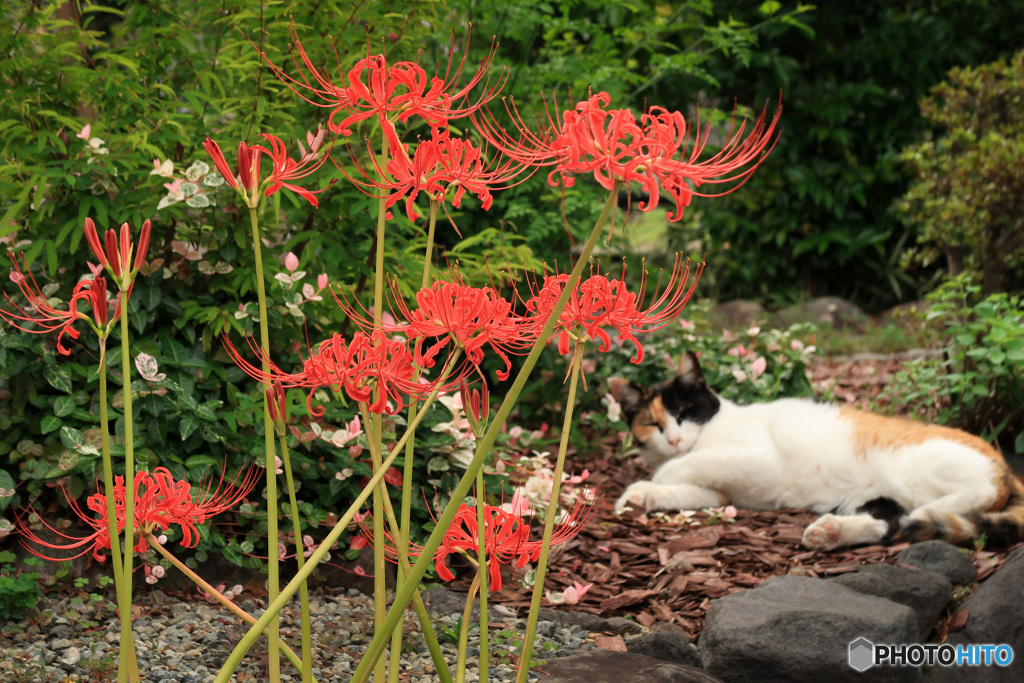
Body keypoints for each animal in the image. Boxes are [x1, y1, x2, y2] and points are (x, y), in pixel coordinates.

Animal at [606, 352, 1024, 548]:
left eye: (683, 413)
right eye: (654, 425)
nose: (675, 440)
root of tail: (1006, 466)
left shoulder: (755, 459)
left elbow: (683, 466)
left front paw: (651, 480)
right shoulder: (721, 491)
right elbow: (683, 487)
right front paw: (640, 494)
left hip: (912, 465)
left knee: (976, 495)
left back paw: (931, 509)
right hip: (879, 494)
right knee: (890, 523)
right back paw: (833, 531)